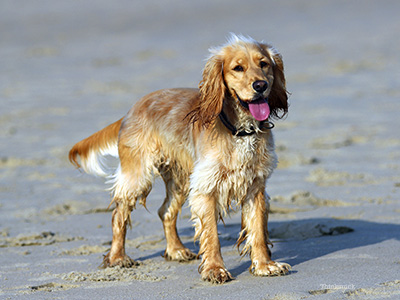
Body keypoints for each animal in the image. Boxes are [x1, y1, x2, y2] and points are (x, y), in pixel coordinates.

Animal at [69, 34, 290, 284]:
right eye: (238, 68)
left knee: (165, 211)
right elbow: (211, 234)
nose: (260, 85)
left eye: (264, 64)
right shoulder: (206, 187)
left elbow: (258, 231)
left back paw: (175, 250)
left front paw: (264, 265)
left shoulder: (255, 186)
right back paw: (117, 257)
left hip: (180, 181)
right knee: (119, 215)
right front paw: (215, 269)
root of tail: (132, 108)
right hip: (138, 175)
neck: (240, 130)